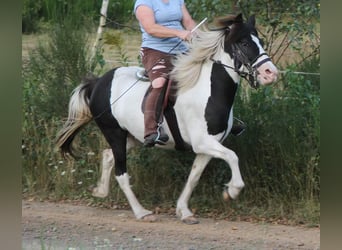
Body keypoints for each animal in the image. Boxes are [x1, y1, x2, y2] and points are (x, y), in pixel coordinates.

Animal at [56, 13, 280, 225]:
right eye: (244, 43)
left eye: (260, 41)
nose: (271, 73)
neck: (206, 91)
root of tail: (98, 82)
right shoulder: (203, 143)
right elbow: (233, 157)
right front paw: (232, 191)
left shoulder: (208, 146)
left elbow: (194, 177)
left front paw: (184, 212)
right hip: (115, 134)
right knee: (121, 173)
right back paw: (142, 212)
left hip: (133, 137)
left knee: (107, 156)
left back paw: (100, 191)